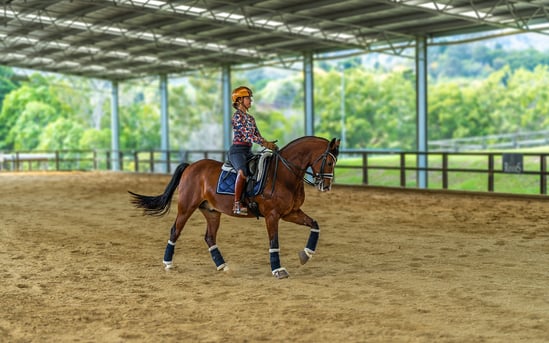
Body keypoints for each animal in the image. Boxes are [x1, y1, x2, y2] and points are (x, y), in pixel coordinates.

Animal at [128, 136, 338, 278]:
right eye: (328, 161)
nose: (326, 186)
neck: (283, 175)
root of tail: (191, 166)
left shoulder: (291, 213)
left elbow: (315, 224)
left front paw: (306, 254)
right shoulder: (273, 215)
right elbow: (274, 242)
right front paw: (278, 270)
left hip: (212, 212)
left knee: (209, 237)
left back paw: (223, 266)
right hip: (186, 207)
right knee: (175, 231)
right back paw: (168, 263)